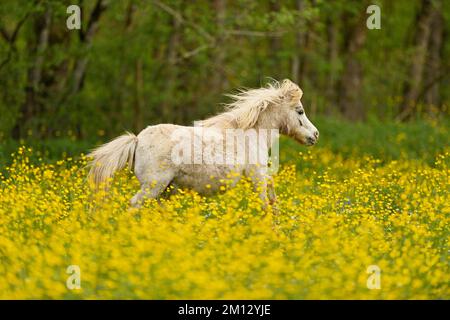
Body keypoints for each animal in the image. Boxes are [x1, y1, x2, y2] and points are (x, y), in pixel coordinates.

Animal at [88, 80, 318, 208]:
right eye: (299, 111)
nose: (315, 135)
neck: (251, 133)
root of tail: (137, 139)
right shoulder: (257, 177)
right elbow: (266, 203)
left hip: (164, 191)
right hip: (153, 186)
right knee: (134, 206)